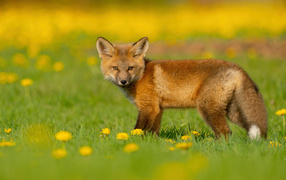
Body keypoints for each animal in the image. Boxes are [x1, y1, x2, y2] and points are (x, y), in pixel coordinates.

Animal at [96, 37, 268, 139]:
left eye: (130, 68)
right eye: (115, 68)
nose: (123, 81)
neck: (142, 75)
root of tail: (235, 66)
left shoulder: (148, 107)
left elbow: (139, 129)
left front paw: (133, 143)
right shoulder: (158, 109)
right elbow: (153, 132)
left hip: (207, 108)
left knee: (225, 132)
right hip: (232, 111)